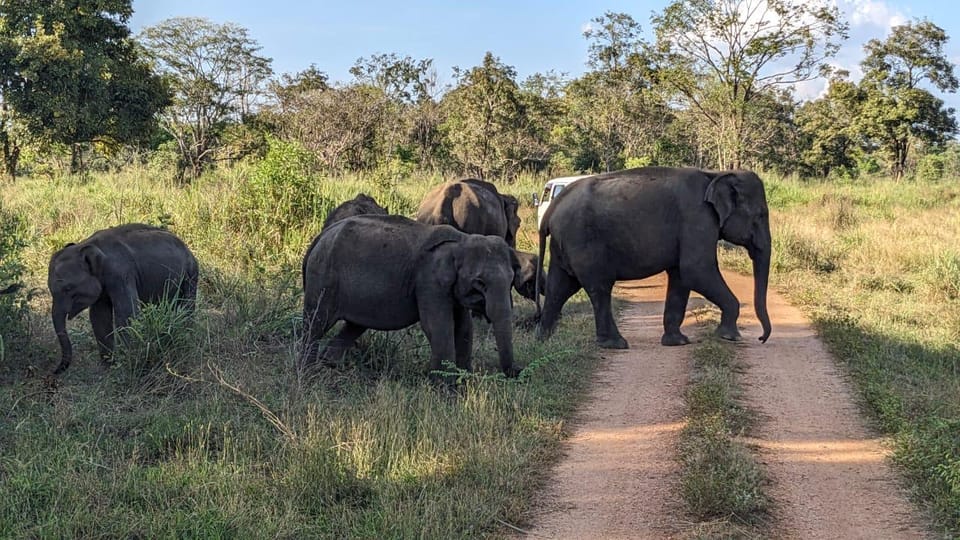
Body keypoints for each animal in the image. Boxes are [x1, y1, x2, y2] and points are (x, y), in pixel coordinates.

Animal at [48, 223, 201, 372]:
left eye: (68, 288)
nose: (56, 370)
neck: (85, 245)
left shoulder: (121, 273)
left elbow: (127, 313)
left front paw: (129, 362)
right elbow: (99, 316)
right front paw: (110, 365)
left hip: (190, 274)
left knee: (186, 306)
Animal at [302, 213, 520, 378]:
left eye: (512, 280)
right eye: (480, 283)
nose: (516, 373)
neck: (461, 240)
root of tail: (320, 236)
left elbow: (464, 328)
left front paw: (462, 382)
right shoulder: (429, 281)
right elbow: (438, 326)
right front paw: (446, 389)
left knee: (354, 326)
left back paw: (328, 364)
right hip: (323, 279)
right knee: (316, 323)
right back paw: (308, 371)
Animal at [536, 167, 776, 348]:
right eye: (760, 215)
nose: (761, 338)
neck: (715, 174)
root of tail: (552, 208)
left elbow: (681, 277)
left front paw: (678, 342)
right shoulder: (697, 218)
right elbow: (697, 270)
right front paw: (731, 337)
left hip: (563, 244)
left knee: (559, 288)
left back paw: (543, 340)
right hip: (583, 241)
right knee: (599, 287)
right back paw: (616, 344)